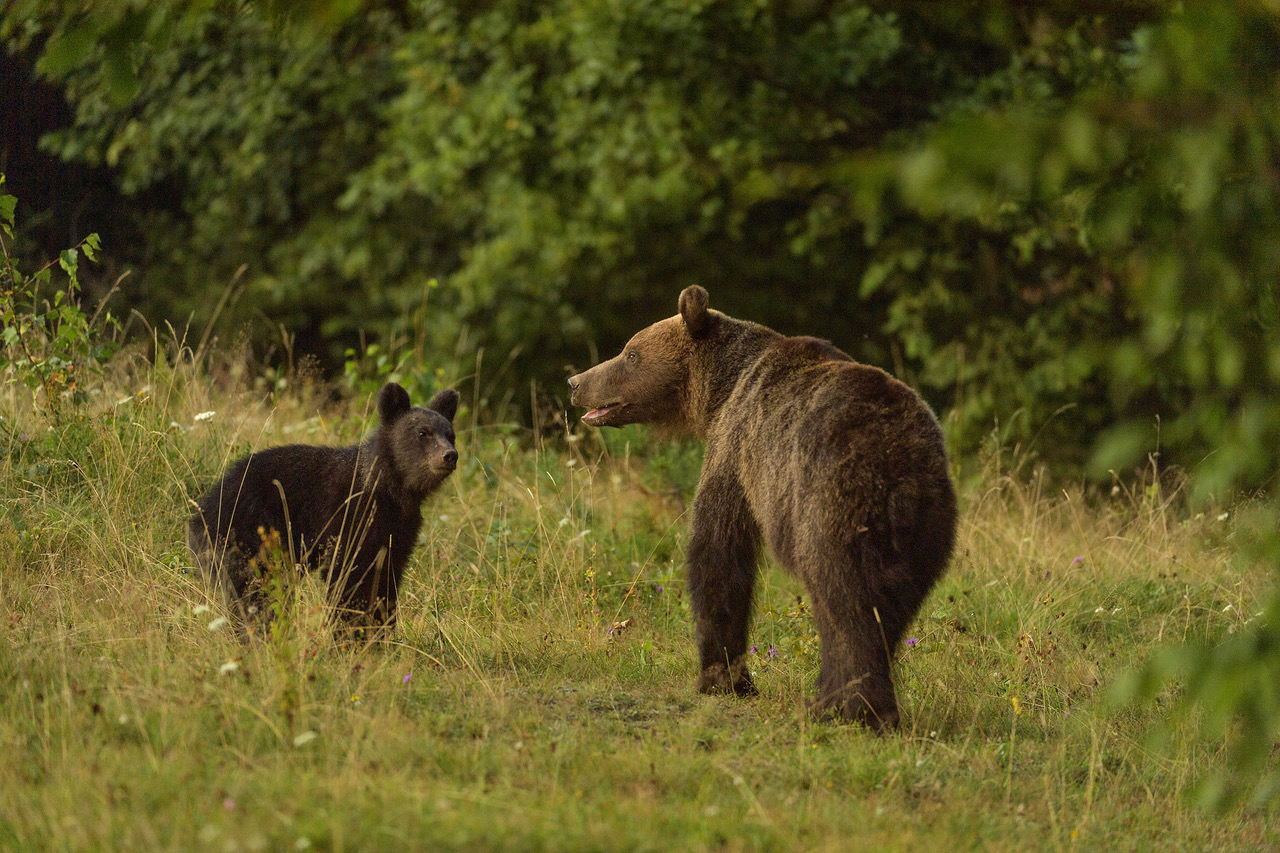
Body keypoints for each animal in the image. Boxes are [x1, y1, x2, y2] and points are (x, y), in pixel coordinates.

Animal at [189, 382, 459, 635]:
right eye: (423, 433)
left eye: (450, 434)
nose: (450, 455)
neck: (388, 487)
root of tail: (200, 514)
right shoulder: (348, 516)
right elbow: (350, 575)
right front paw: (350, 632)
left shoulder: (399, 529)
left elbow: (385, 576)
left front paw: (380, 629)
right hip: (250, 534)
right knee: (258, 592)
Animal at [568, 286, 956, 730]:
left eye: (631, 353)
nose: (575, 382)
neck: (721, 388)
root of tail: (898, 468)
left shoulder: (737, 449)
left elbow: (718, 551)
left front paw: (722, 679)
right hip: (924, 531)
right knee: (891, 608)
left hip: (831, 505)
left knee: (844, 607)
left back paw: (840, 705)